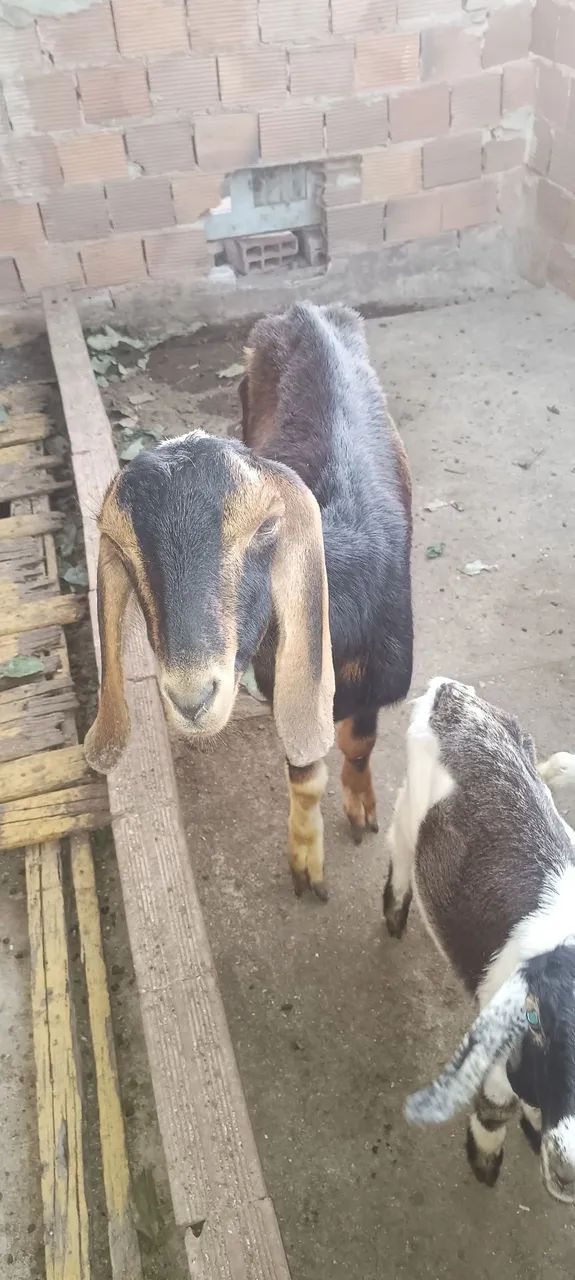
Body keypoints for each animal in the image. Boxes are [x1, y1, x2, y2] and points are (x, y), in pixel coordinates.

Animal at [85, 302, 413, 900]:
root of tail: (309, 312)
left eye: (265, 528)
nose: (192, 699)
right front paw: (306, 859)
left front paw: (361, 810)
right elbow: (305, 772)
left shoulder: (380, 669)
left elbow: (357, 741)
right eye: (123, 549)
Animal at [383, 676, 575, 1202]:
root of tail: (452, 693)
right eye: (549, 1033)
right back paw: (393, 916)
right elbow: (495, 1107)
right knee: (398, 849)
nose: (570, 1171)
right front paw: (485, 1167)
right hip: (409, 808)